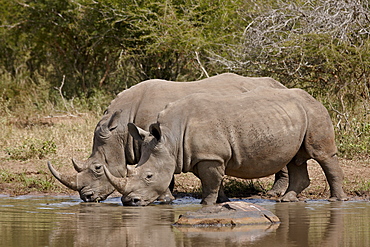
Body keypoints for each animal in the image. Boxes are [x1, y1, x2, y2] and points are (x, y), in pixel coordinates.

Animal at [47, 72, 288, 202]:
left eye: (98, 168)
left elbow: (165, 174)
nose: (86, 197)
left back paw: (274, 194)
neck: (121, 131)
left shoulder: (160, 141)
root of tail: (280, 84)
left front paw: (164, 199)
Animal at [104, 88, 346, 206]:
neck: (170, 138)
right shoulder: (207, 156)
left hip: (314, 111)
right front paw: (224, 201)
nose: (129, 202)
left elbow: (210, 183)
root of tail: (312, 97)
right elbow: (215, 181)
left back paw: (336, 200)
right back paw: (287, 200)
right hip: (295, 114)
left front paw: (206, 204)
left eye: (149, 176)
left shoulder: (210, 156)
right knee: (296, 158)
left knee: (322, 155)